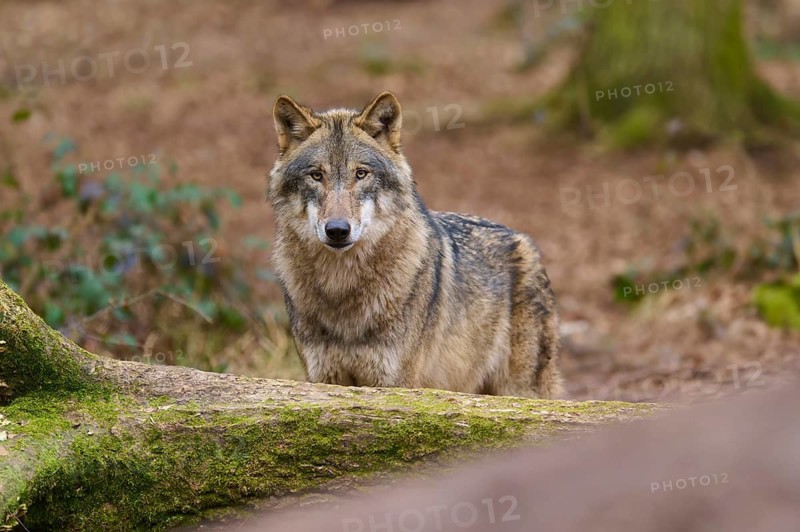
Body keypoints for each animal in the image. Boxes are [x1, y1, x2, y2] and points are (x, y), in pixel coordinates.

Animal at [267, 91, 562, 398]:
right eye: (316, 175)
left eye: (361, 174)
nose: (337, 230)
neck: (343, 290)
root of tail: (525, 240)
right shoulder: (322, 378)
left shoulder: (397, 382)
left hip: (520, 388)